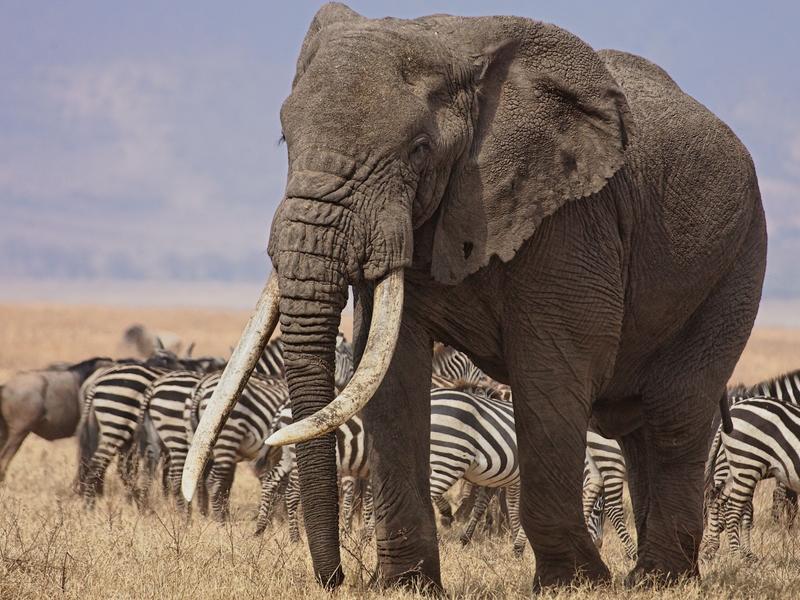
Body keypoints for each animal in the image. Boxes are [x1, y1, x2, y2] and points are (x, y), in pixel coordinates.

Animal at [183, 4, 767, 593]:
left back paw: (658, 579)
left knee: (675, 413)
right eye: (284, 139)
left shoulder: (570, 220)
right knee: (635, 425)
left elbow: (551, 375)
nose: (337, 579)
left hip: (736, 260)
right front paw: (407, 586)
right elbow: (391, 373)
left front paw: (575, 583)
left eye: (419, 149)